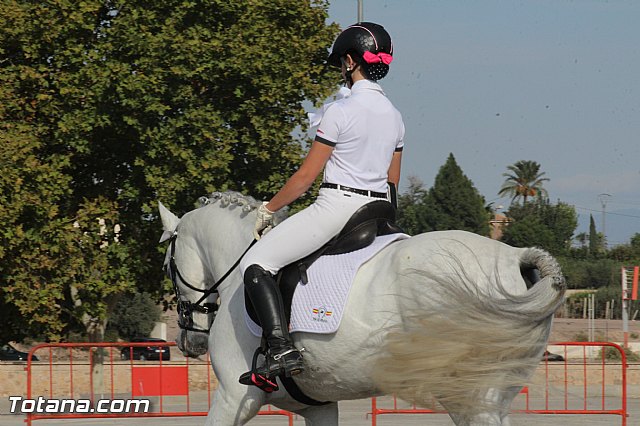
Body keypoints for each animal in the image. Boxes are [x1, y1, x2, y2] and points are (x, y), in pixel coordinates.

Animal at [159, 192, 564, 426]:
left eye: (167, 265)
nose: (189, 342)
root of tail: (514, 257)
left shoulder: (234, 398)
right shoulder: (320, 406)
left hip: (469, 395)